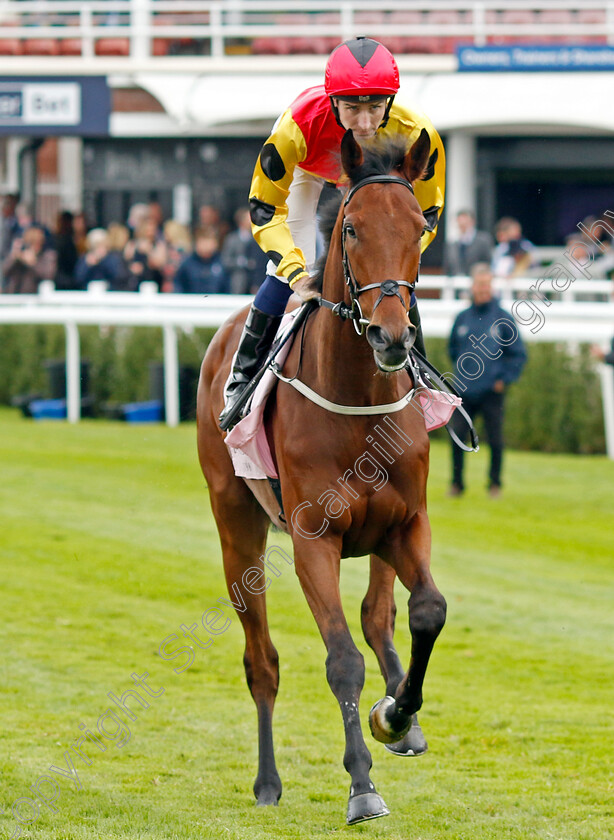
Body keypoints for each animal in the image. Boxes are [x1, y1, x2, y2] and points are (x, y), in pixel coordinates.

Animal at [197, 128, 448, 824]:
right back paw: (267, 781)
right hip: (236, 526)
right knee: (262, 660)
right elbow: (340, 660)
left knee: (378, 614)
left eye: (419, 226)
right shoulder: (314, 538)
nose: (392, 336)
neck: (357, 398)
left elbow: (426, 611)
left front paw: (397, 714)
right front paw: (361, 785)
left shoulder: (406, 522)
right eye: (353, 229)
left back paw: (402, 719)